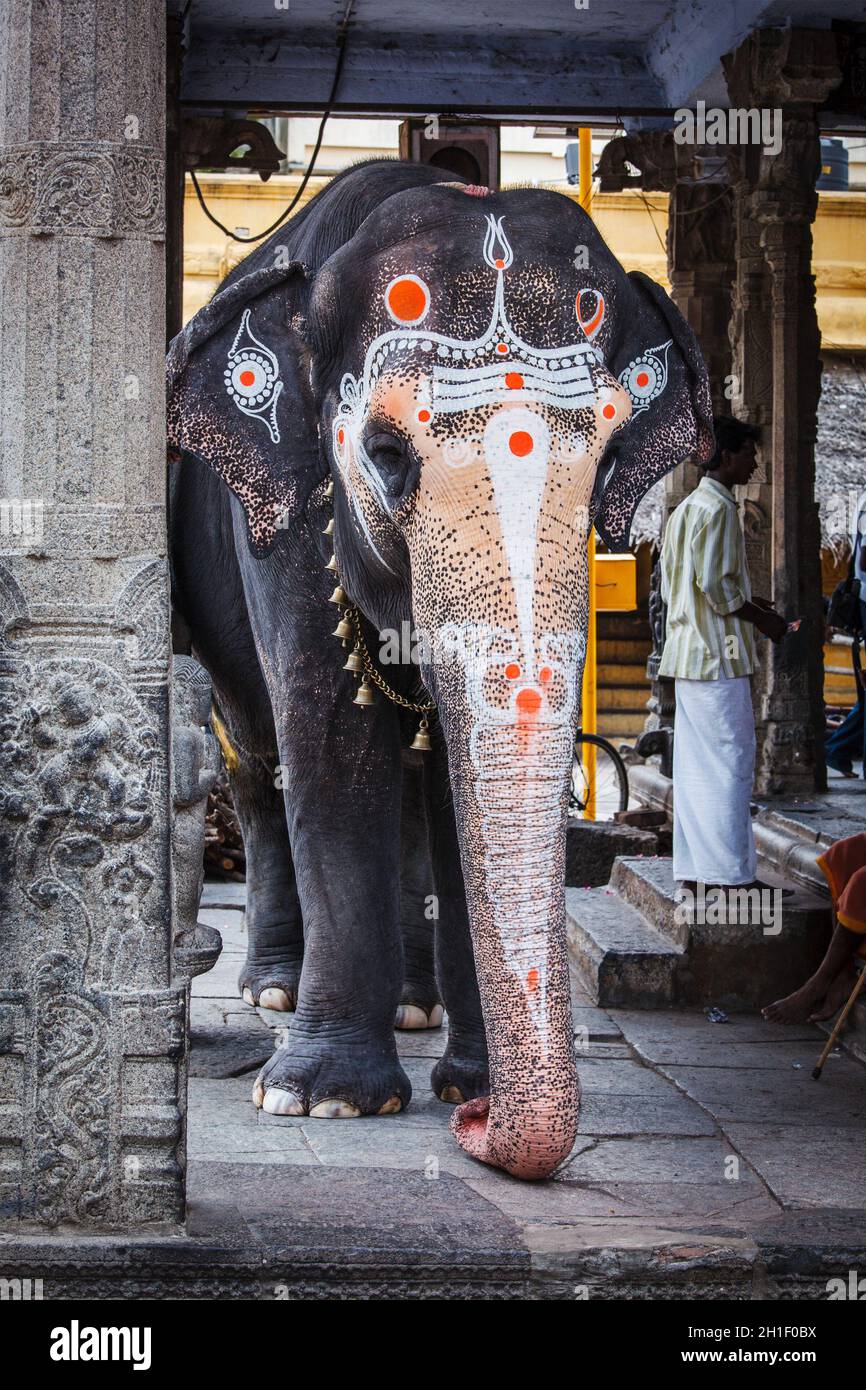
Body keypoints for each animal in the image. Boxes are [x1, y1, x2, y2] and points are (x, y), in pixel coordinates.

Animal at [167, 162, 711, 1184]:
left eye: (609, 460)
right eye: (385, 456)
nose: (480, 1132)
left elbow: (457, 796)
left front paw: (468, 1085)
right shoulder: (292, 515)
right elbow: (332, 744)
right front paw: (323, 1099)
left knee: (417, 784)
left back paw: (413, 1007)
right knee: (257, 756)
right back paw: (273, 993)